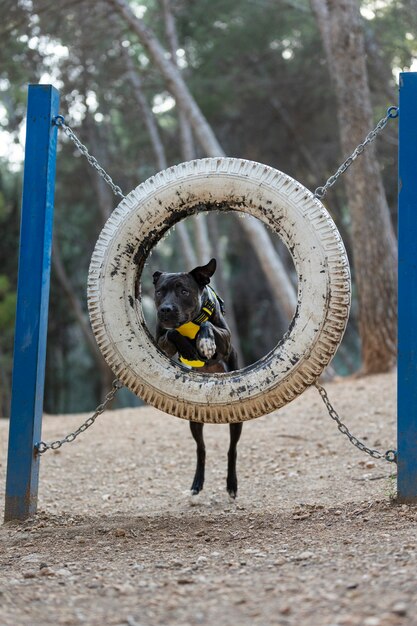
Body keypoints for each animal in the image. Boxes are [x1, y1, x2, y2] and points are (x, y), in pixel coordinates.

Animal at [154, 256, 242, 494]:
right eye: (159, 292)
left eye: (184, 291)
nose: (165, 310)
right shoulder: (161, 343)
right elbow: (172, 333)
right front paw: (188, 348)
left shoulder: (226, 340)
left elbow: (207, 324)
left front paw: (205, 342)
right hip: (194, 422)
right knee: (201, 449)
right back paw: (197, 482)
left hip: (237, 422)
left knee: (232, 449)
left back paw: (231, 484)